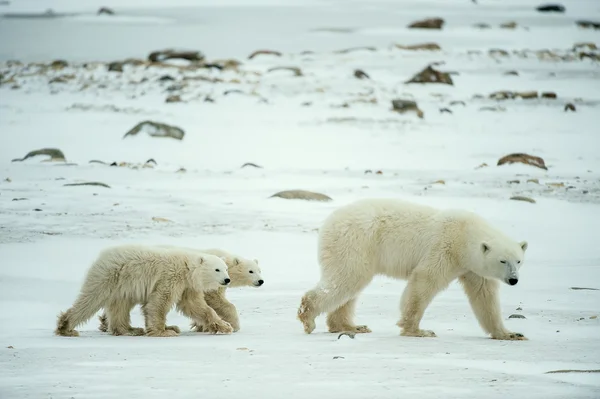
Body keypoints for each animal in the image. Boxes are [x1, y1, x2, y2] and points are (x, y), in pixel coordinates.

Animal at [298, 198, 528, 342]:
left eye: (518, 261)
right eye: (502, 261)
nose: (514, 280)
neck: (465, 235)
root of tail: (330, 221)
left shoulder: (473, 269)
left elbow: (485, 298)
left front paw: (510, 334)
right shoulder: (444, 248)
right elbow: (424, 281)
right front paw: (418, 330)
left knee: (349, 287)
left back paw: (350, 326)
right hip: (355, 242)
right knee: (346, 279)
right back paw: (308, 317)